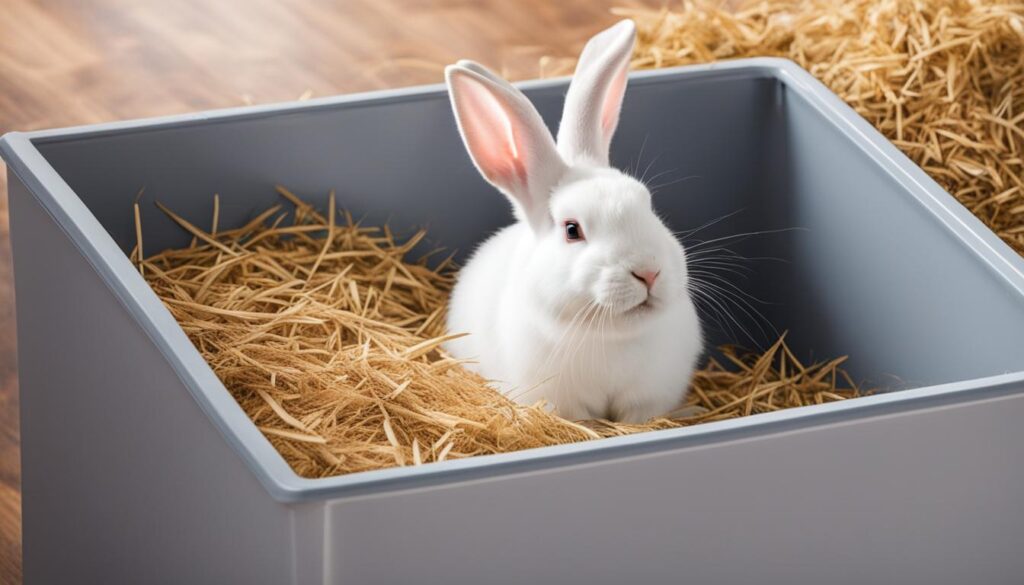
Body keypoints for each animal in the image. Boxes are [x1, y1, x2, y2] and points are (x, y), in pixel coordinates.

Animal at [444, 20, 700, 424]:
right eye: (571, 230)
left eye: (648, 204)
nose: (648, 272)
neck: (611, 337)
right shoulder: (562, 401)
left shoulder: (649, 398)